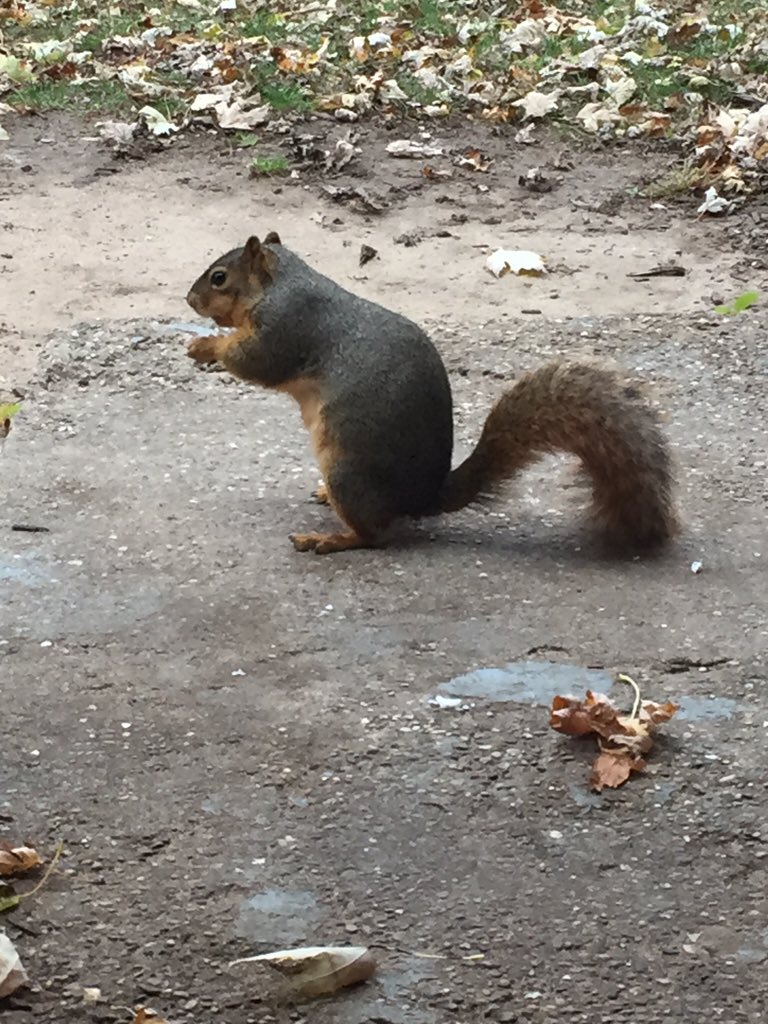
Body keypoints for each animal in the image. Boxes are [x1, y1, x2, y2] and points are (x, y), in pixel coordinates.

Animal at [185, 232, 679, 555]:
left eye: (219, 277)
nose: (189, 300)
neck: (284, 282)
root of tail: (422, 500)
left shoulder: (287, 326)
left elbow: (255, 361)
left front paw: (205, 346)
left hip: (349, 471)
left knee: (375, 536)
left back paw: (329, 538)